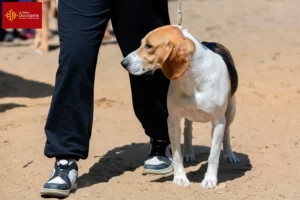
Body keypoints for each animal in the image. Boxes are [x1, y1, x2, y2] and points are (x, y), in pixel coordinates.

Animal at [120, 25, 240, 189]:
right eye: (141, 43)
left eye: (149, 46)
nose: (123, 63)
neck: (193, 79)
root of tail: (211, 42)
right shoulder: (173, 120)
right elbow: (177, 154)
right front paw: (180, 178)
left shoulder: (218, 122)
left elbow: (213, 155)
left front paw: (210, 179)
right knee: (188, 130)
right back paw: (189, 153)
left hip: (231, 110)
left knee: (227, 131)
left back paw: (229, 154)